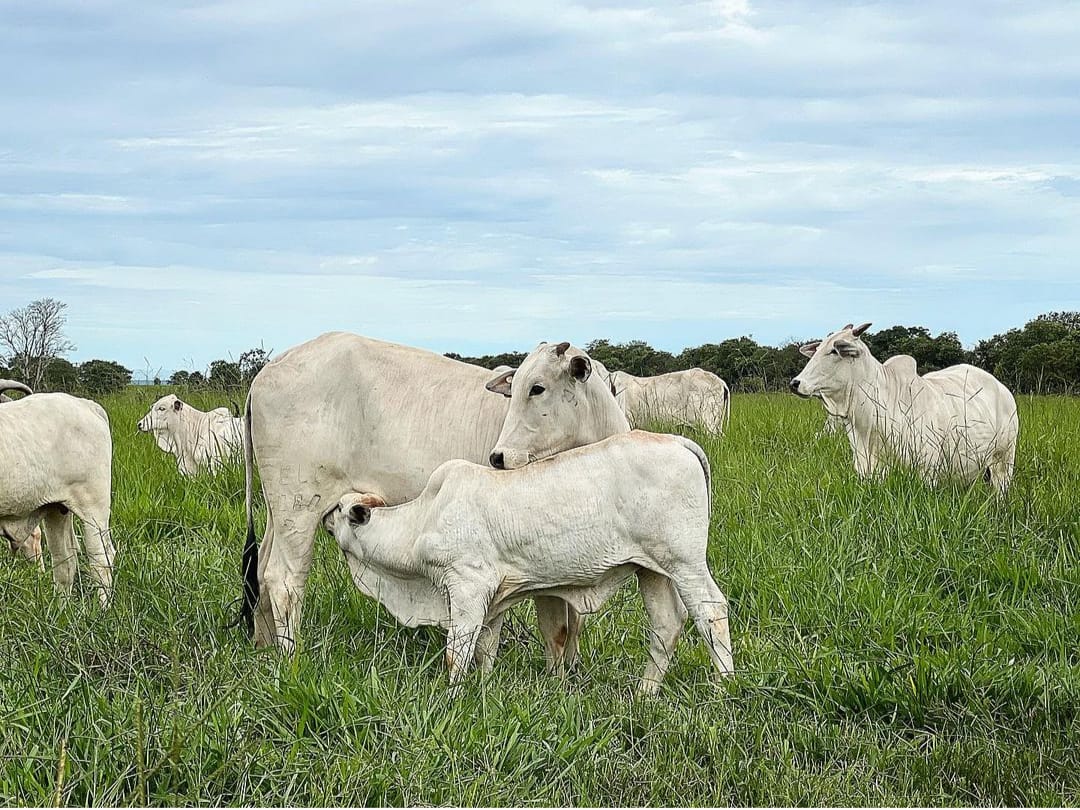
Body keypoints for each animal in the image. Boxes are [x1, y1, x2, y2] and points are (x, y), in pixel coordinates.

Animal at [0, 384, 116, 604]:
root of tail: (86, 404)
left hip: (94, 507)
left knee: (100, 559)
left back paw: (103, 608)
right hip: (56, 508)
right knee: (65, 562)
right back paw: (61, 610)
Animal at [239, 334, 630, 660]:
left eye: (538, 387)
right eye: (518, 387)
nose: (498, 457)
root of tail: (266, 373)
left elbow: (569, 627)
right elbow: (553, 628)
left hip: (278, 511)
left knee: (260, 573)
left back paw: (263, 649)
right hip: (299, 507)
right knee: (284, 580)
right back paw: (291, 658)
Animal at [790, 324, 1015, 494]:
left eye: (834, 351)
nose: (795, 383)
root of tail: (1002, 389)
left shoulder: (927, 473)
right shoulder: (868, 471)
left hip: (1003, 462)